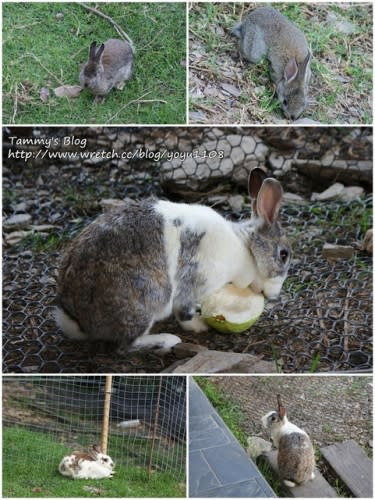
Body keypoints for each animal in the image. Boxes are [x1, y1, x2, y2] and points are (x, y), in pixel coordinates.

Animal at [54, 168, 292, 356]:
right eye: (283, 255)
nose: (274, 295)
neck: (246, 248)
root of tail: (77, 318)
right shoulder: (194, 281)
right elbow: (184, 312)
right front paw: (199, 325)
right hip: (147, 299)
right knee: (125, 346)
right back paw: (167, 341)